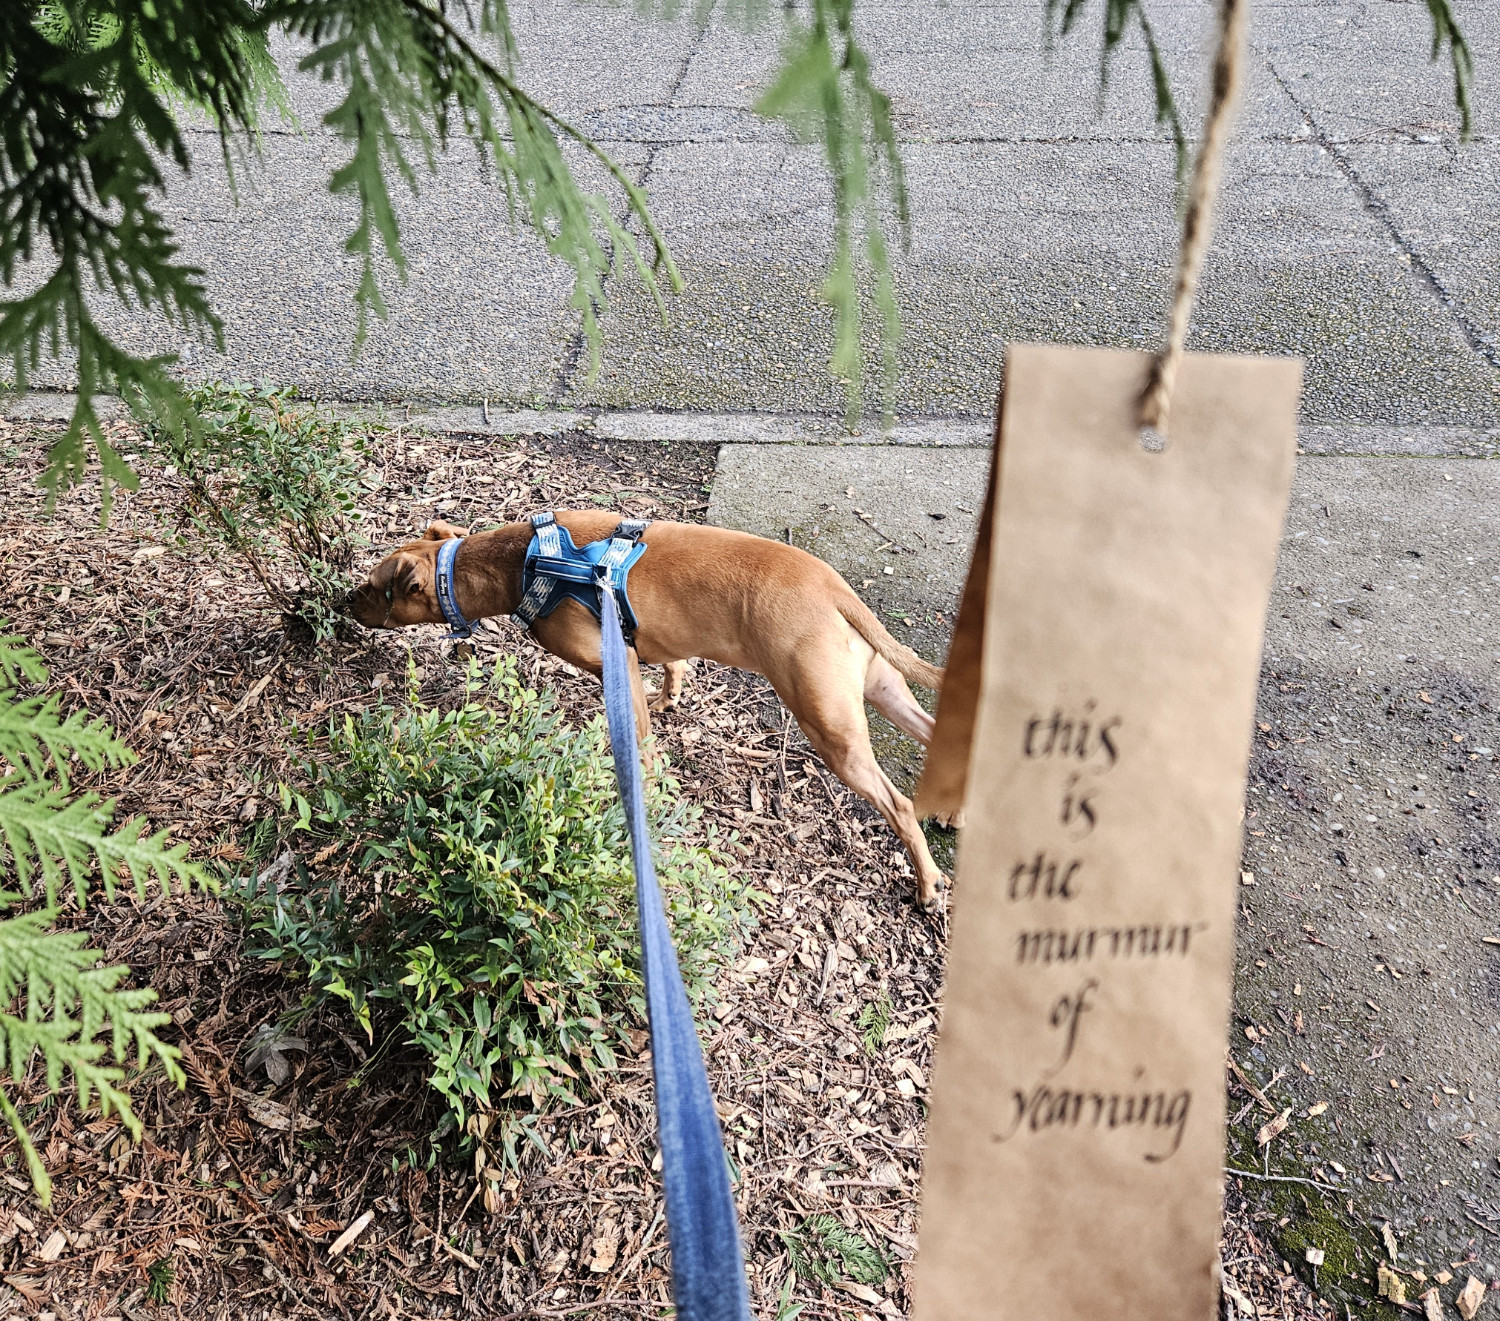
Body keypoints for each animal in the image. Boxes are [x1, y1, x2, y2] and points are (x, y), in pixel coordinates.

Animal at [351, 515, 948, 905]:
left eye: (374, 586)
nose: (340, 599)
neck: (519, 561)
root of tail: (835, 589)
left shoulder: (614, 664)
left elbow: (637, 739)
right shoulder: (649, 648)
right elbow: (674, 669)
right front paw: (671, 697)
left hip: (829, 726)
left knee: (898, 805)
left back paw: (927, 883)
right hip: (879, 688)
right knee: (934, 729)